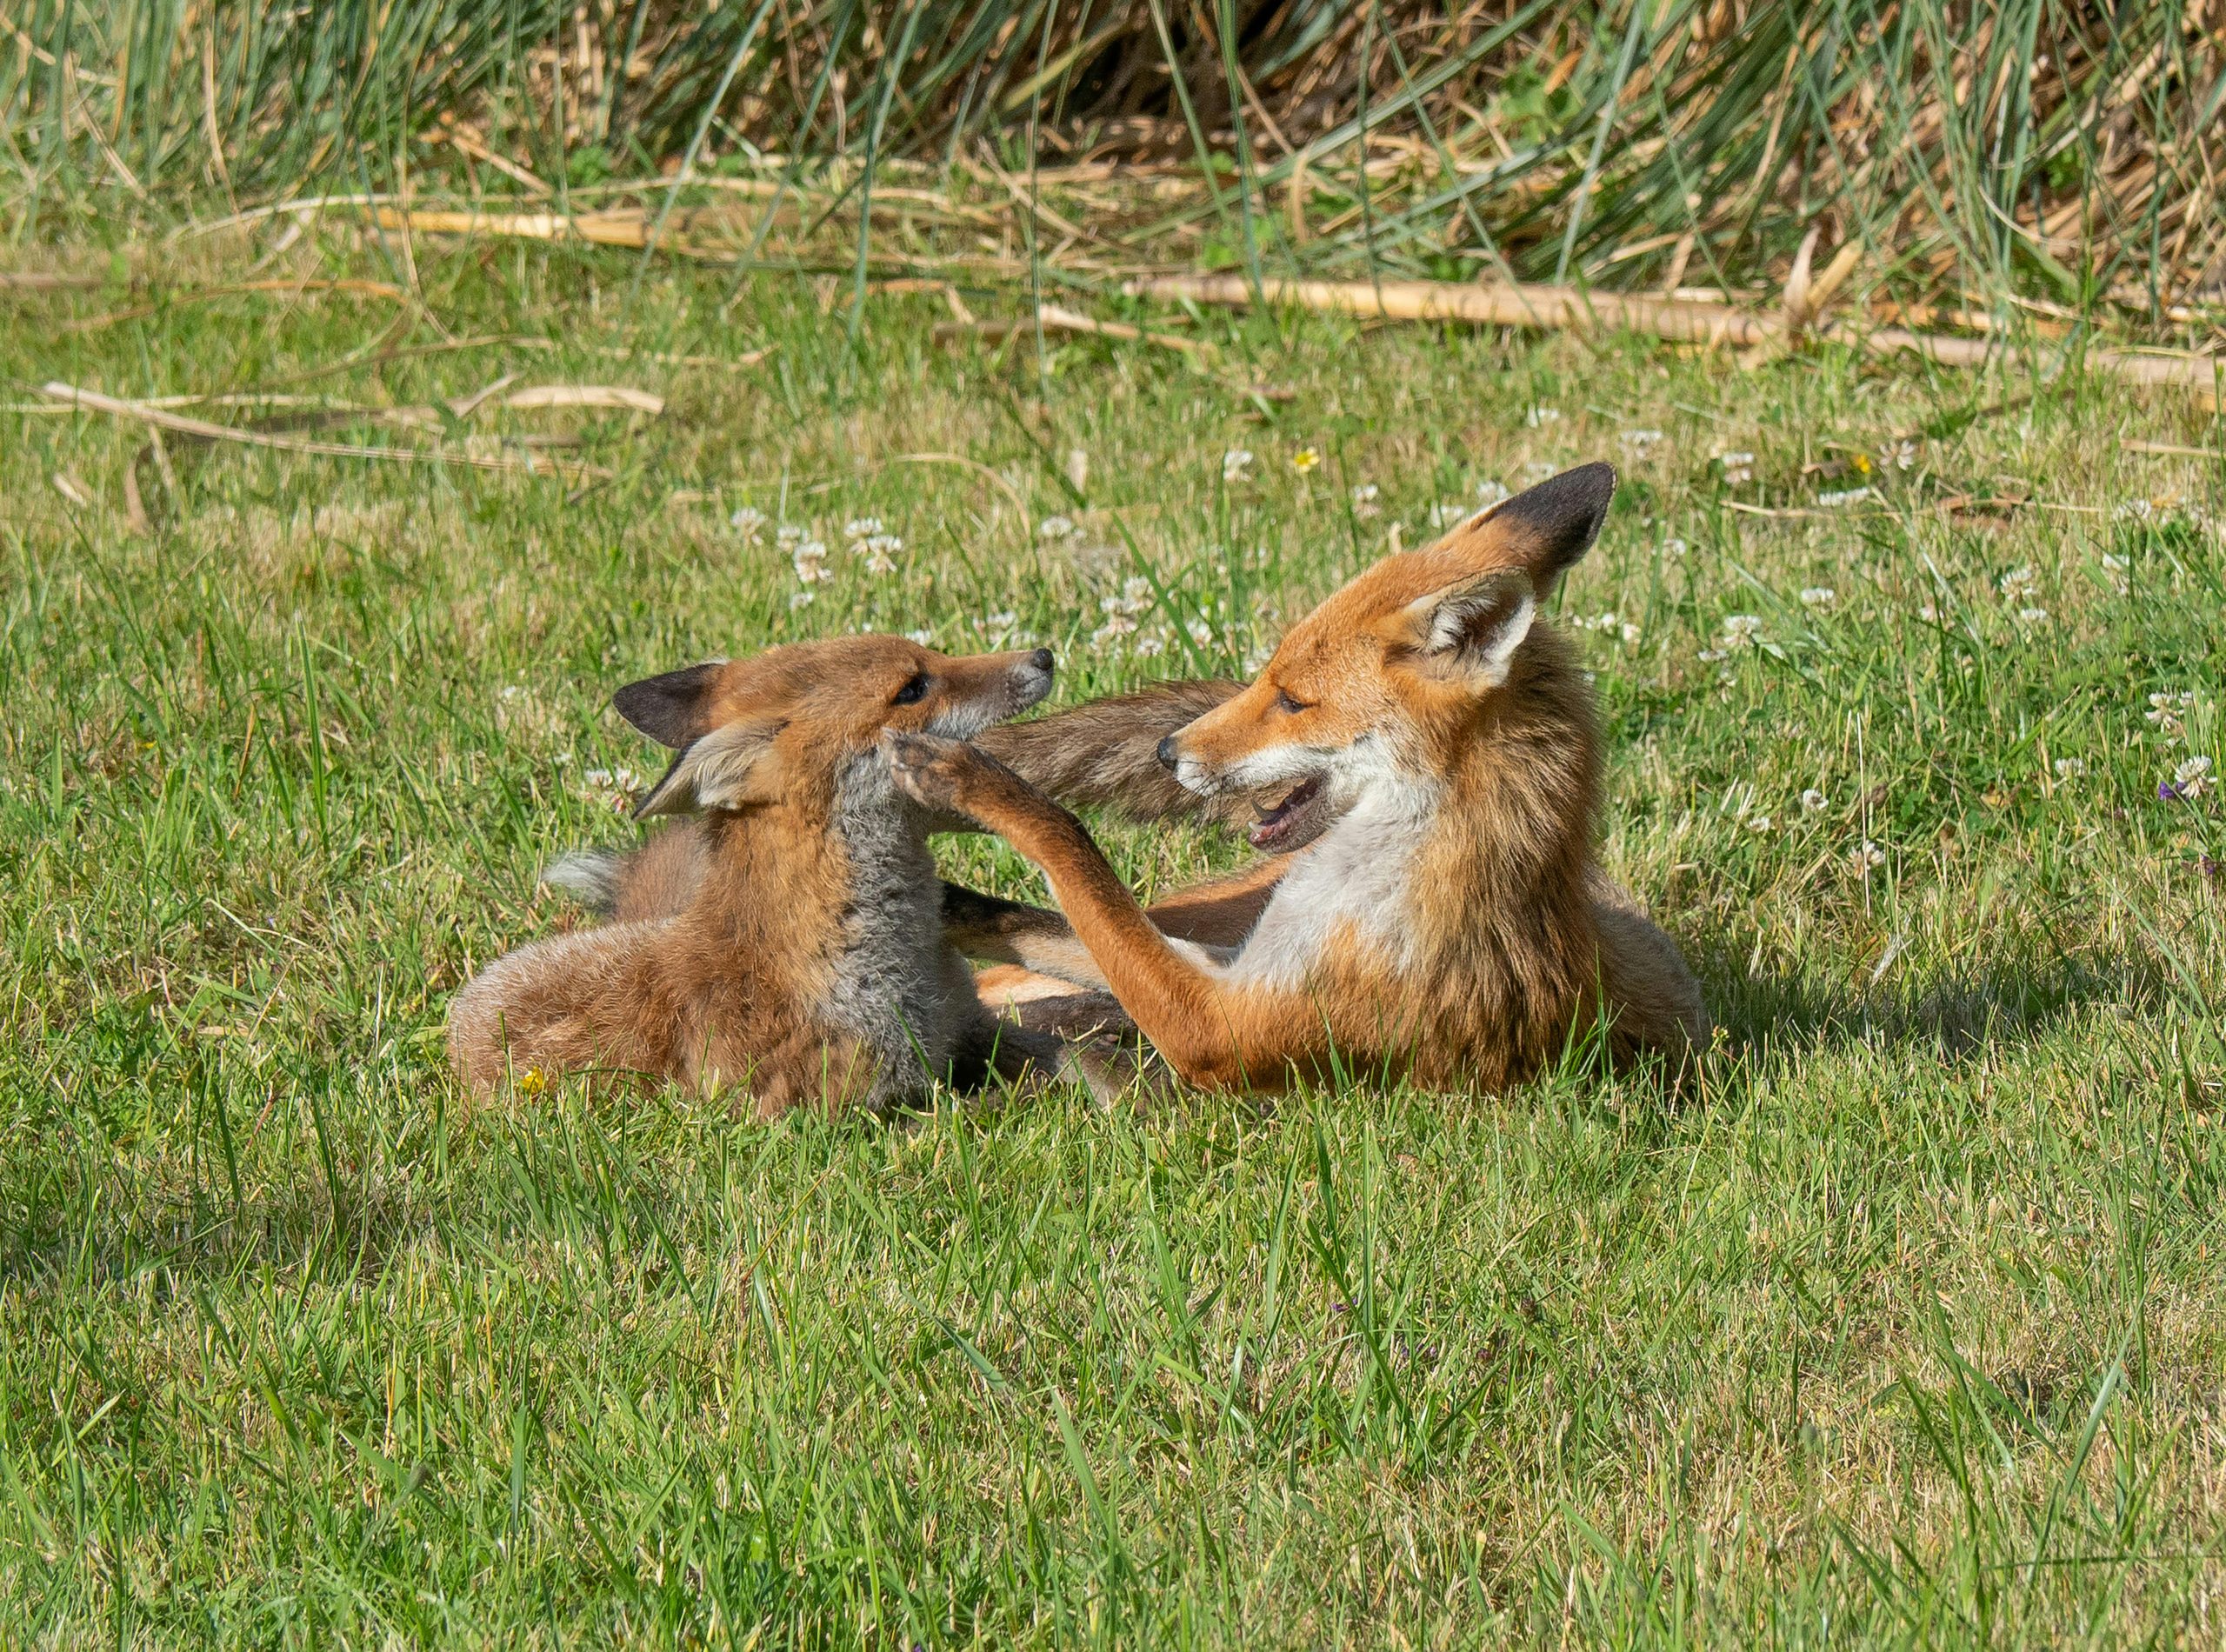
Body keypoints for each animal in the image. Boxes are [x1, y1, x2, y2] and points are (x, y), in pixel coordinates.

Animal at [446, 635, 1070, 1115]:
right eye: (912, 688)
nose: (1043, 655)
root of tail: (460, 1020)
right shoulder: (858, 1108)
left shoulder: (969, 1026)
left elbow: (1056, 1051)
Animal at [884, 461, 1710, 1095]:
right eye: (1268, 677)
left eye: (1291, 700)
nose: (1167, 752)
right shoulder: (1239, 958)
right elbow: (1045, 921)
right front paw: (943, 905)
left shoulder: (1218, 1028)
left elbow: (1069, 847)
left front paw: (975, 781)